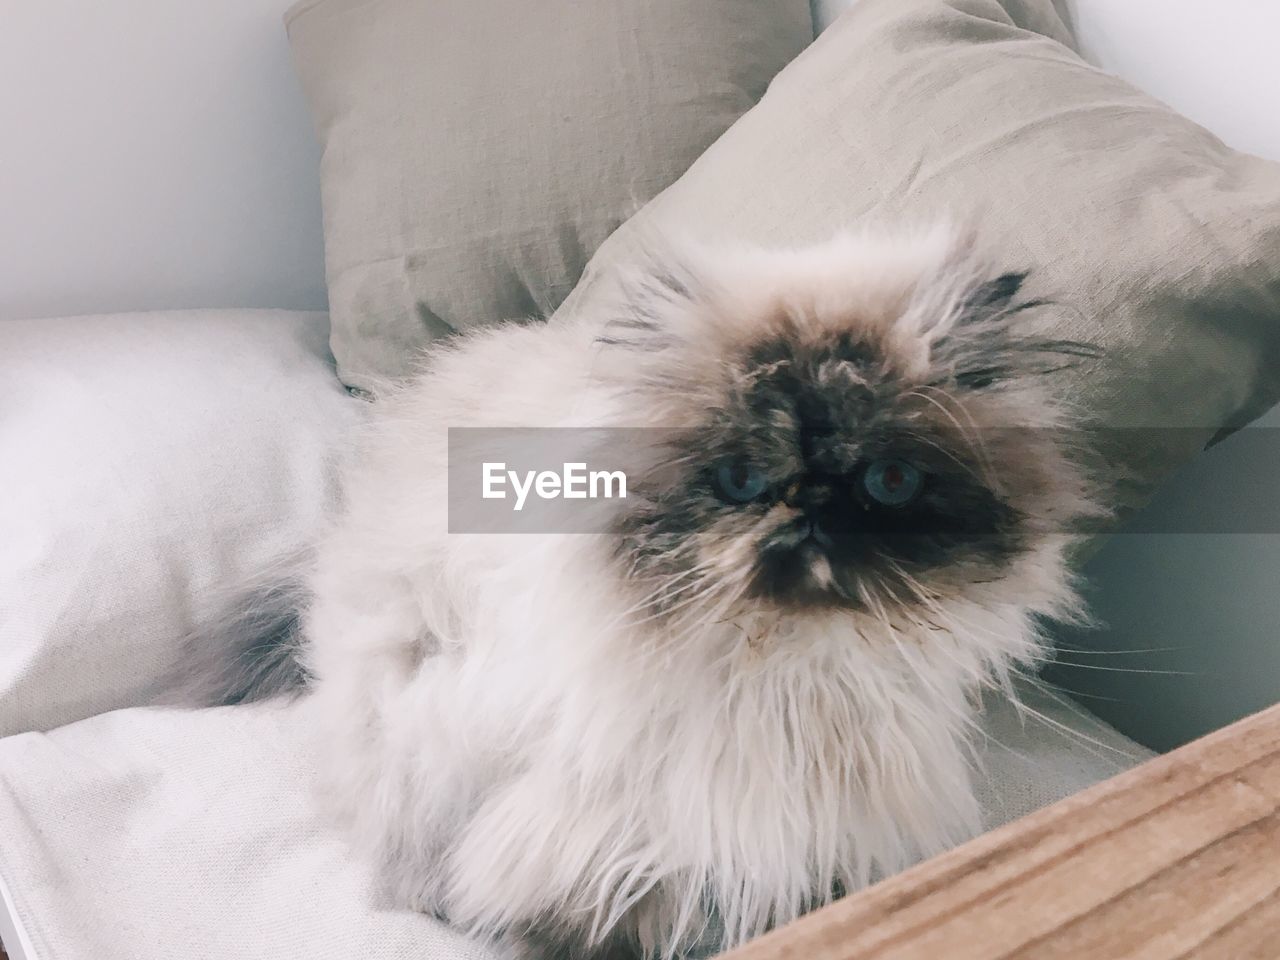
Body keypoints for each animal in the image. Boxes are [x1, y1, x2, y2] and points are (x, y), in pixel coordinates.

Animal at [177, 227, 1100, 960]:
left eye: (892, 481)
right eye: (741, 478)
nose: (809, 508)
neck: (782, 679)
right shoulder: (587, 839)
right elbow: (592, 914)